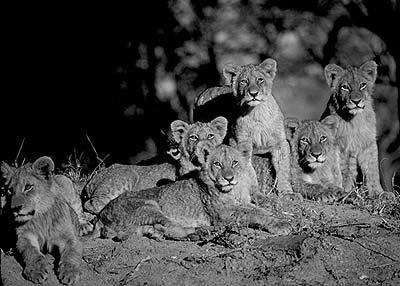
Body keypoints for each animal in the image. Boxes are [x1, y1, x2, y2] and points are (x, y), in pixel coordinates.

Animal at [82, 116, 228, 214]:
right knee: (93, 204)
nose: (204, 148)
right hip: (128, 175)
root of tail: (93, 178)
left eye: (210, 136)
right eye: (193, 137)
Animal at [86, 143, 290, 241]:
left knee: (156, 229)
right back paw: (202, 231)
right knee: (168, 224)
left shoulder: (242, 204)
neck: (233, 190)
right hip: (149, 205)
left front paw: (276, 214)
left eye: (235, 162)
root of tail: (102, 216)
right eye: (217, 164)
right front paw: (280, 224)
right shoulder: (224, 215)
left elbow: (259, 210)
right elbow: (255, 216)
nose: (229, 178)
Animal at [194, 58, 294, 197]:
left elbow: (283, 168)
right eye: (244, 81)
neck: (256, 112)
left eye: (260, 80)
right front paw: (255, 192)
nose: (253, 93)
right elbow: (249, 171)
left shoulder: (279, 142)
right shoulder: (238, 142)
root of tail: (201, 94)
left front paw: (287, 192)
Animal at [322, 60, 394, 199]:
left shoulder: (368, 142)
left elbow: (372, 169)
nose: (356, 101)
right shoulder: (341, 145)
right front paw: (346, 192)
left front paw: (379, 193)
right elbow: (344, 170)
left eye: (362, 85)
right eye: (345, 87)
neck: (355, 120)